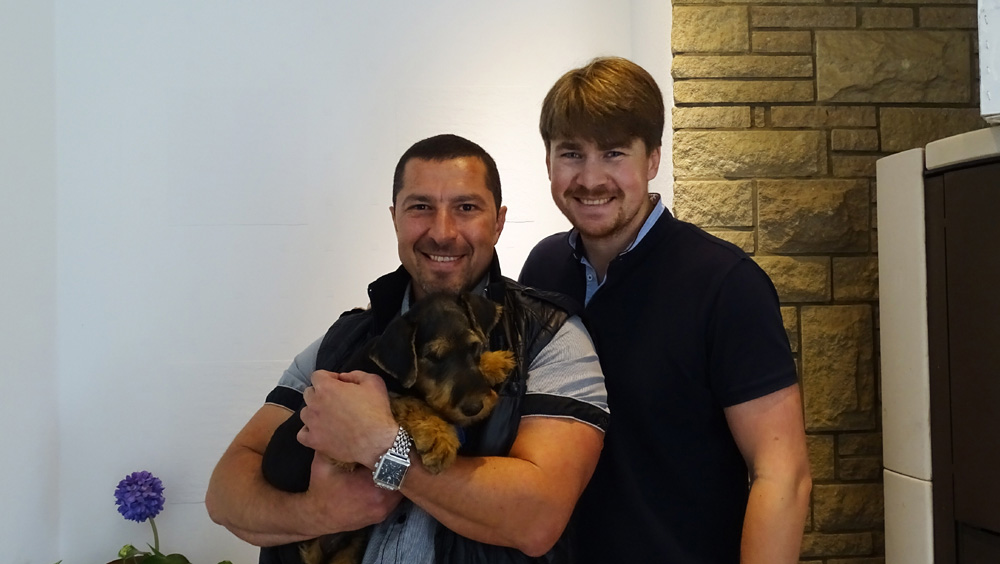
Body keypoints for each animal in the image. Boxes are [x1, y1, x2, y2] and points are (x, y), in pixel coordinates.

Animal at [261, 291, 517, 564]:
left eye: (474, 347)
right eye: (433, 357)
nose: (474, 407)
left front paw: (496, 361)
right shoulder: (343, 450)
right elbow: (407, 400)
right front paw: (440, 439)